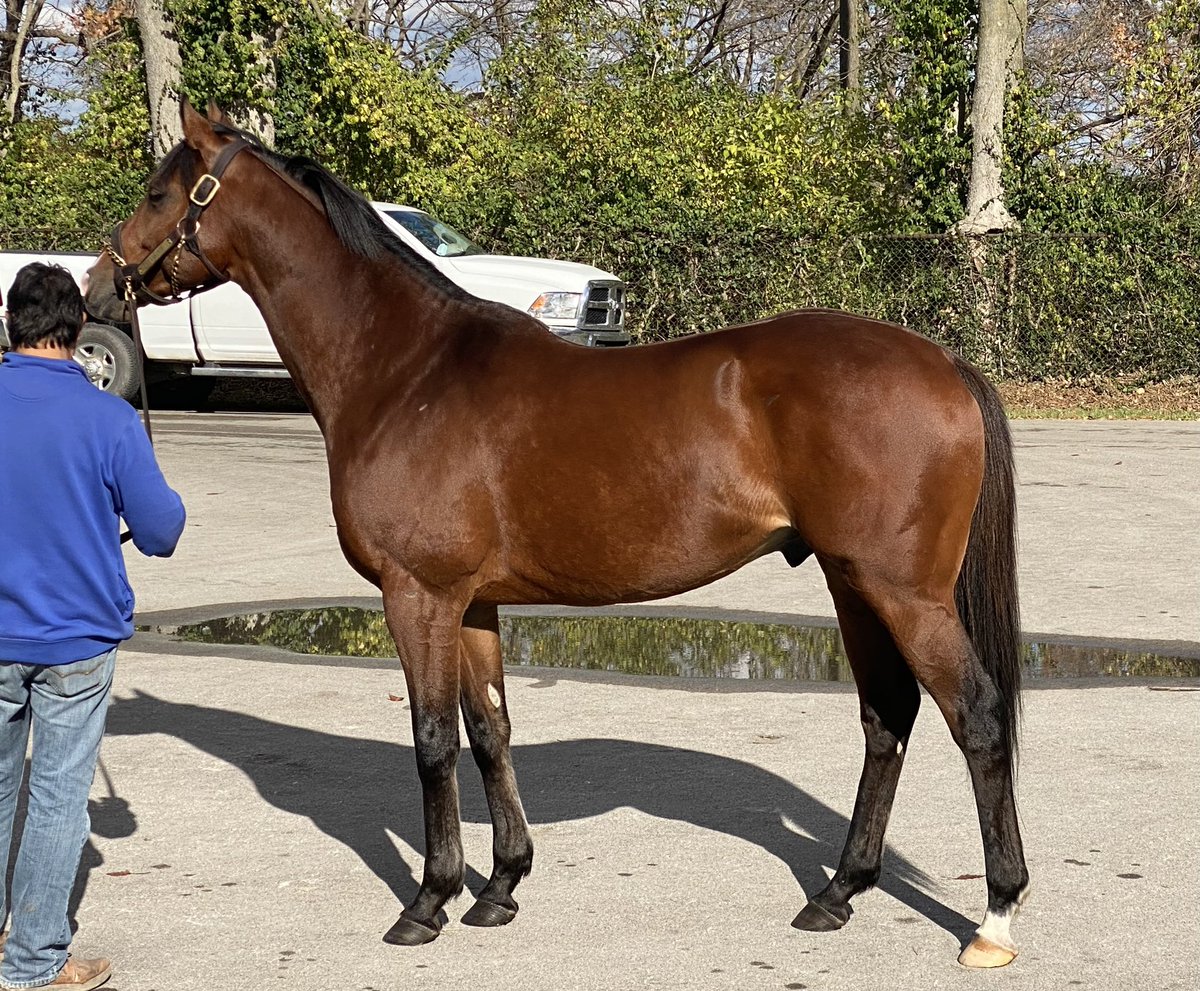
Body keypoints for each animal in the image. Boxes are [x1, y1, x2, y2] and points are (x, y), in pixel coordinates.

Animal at [84, 98, 1029, 969]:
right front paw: (500, 886)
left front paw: (428, 901)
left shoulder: (417, 596)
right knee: (886, 718)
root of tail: (946, 363)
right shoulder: (470, 605)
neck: (405, 371)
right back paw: (837, 892)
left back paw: (994, 917)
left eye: (159, 190)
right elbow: (490, 732)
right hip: (851, 582)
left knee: (976, 717)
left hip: (901, 591)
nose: (98, 286)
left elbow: (432, 740)